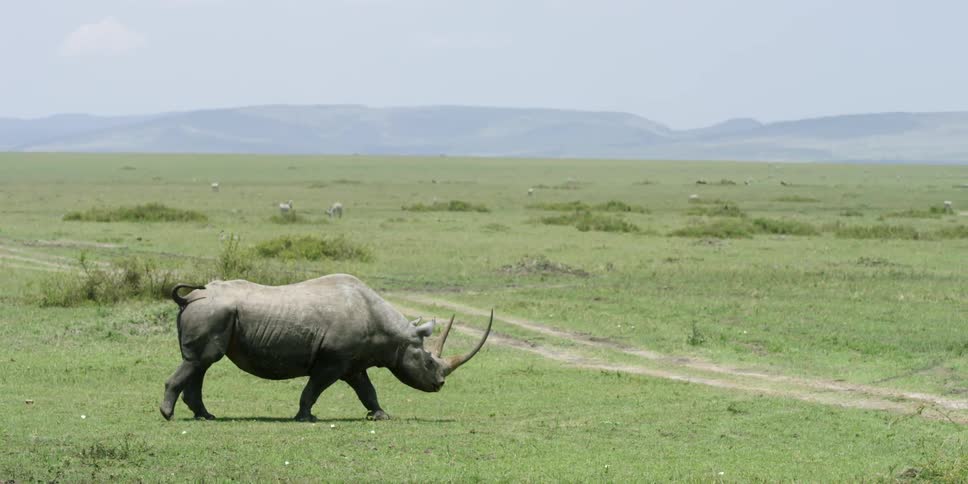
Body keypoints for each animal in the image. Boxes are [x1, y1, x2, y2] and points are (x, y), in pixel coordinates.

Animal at [160, 274, 492, 422]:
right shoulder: (333, 361)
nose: (440, 384)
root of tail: (188, 298)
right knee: (200, 361)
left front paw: (380, 416)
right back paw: (168, 415)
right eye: (429, 362)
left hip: (213, 312)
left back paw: (206, 416)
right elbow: (314, 389)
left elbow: (367, 390)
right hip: (212, 312)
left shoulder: (355, 363)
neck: (395, 335)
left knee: (201, 363)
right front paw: (306, 418)